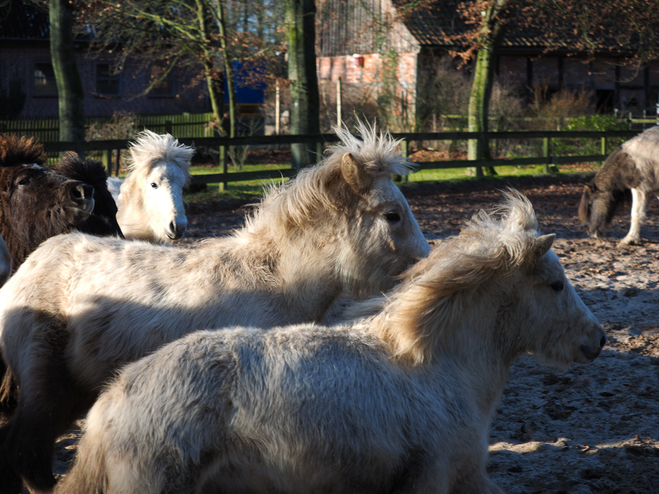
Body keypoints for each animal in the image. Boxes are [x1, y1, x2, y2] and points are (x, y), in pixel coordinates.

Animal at [0, 122, 434, 494]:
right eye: (392, 215)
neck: (275, 285)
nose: (426, 269)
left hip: (73, 394)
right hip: (45, 390)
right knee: (26, 453)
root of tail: (29, 266)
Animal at [54, 192, 604, 494]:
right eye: (556, 285)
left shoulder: (465, 479)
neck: (438, 367)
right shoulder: (435, 479)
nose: (597, 340)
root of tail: (111, 401)